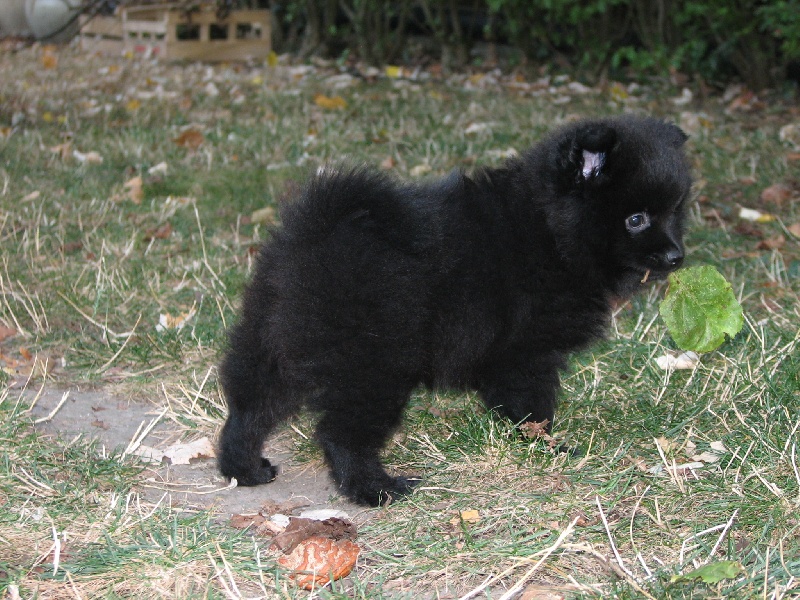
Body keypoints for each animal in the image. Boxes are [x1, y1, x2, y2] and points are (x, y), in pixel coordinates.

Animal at [216, 113, 692, 506]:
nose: (676, 256)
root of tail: (318, 230)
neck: (548, 228)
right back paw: (376, 489)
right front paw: (548, 446)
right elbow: (532, 405)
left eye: (674, 211)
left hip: (271, 341)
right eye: (636, 219)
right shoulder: (525, 352)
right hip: (373, 364)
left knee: (249, 407)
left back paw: (244, 469)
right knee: (340, 432)